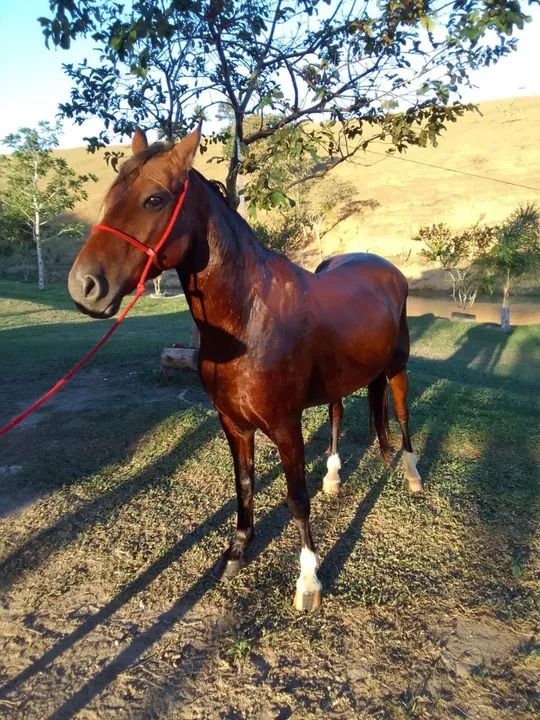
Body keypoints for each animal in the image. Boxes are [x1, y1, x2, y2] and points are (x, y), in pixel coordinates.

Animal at [68, 127, 423, 611]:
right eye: (111, 195)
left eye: (154, 200)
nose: (84, 286)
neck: (250, 317)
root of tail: (386, 267)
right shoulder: (233, 423)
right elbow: (244, 484)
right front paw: (236, 553)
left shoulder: (285, 426)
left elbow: (296, 500)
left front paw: (308, 582)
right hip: (339, 382)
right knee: (336, 415)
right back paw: (333, 477)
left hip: (397, 370)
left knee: (402, 416)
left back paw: (412, 475)